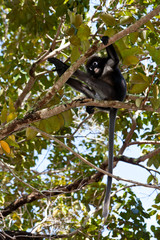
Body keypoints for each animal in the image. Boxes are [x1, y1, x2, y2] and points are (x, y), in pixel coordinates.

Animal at [47, 36, 126, 218]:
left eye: (95, 64)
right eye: (91, 67)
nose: (93, 69)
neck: (102, 71)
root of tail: (114, 105)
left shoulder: (109, 64)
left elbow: (115, 60)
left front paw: (105, 38)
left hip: (109, 93)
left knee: (92, 81)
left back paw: (64, 67)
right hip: (101, 97)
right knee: (88, 87)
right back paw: (65, 73)